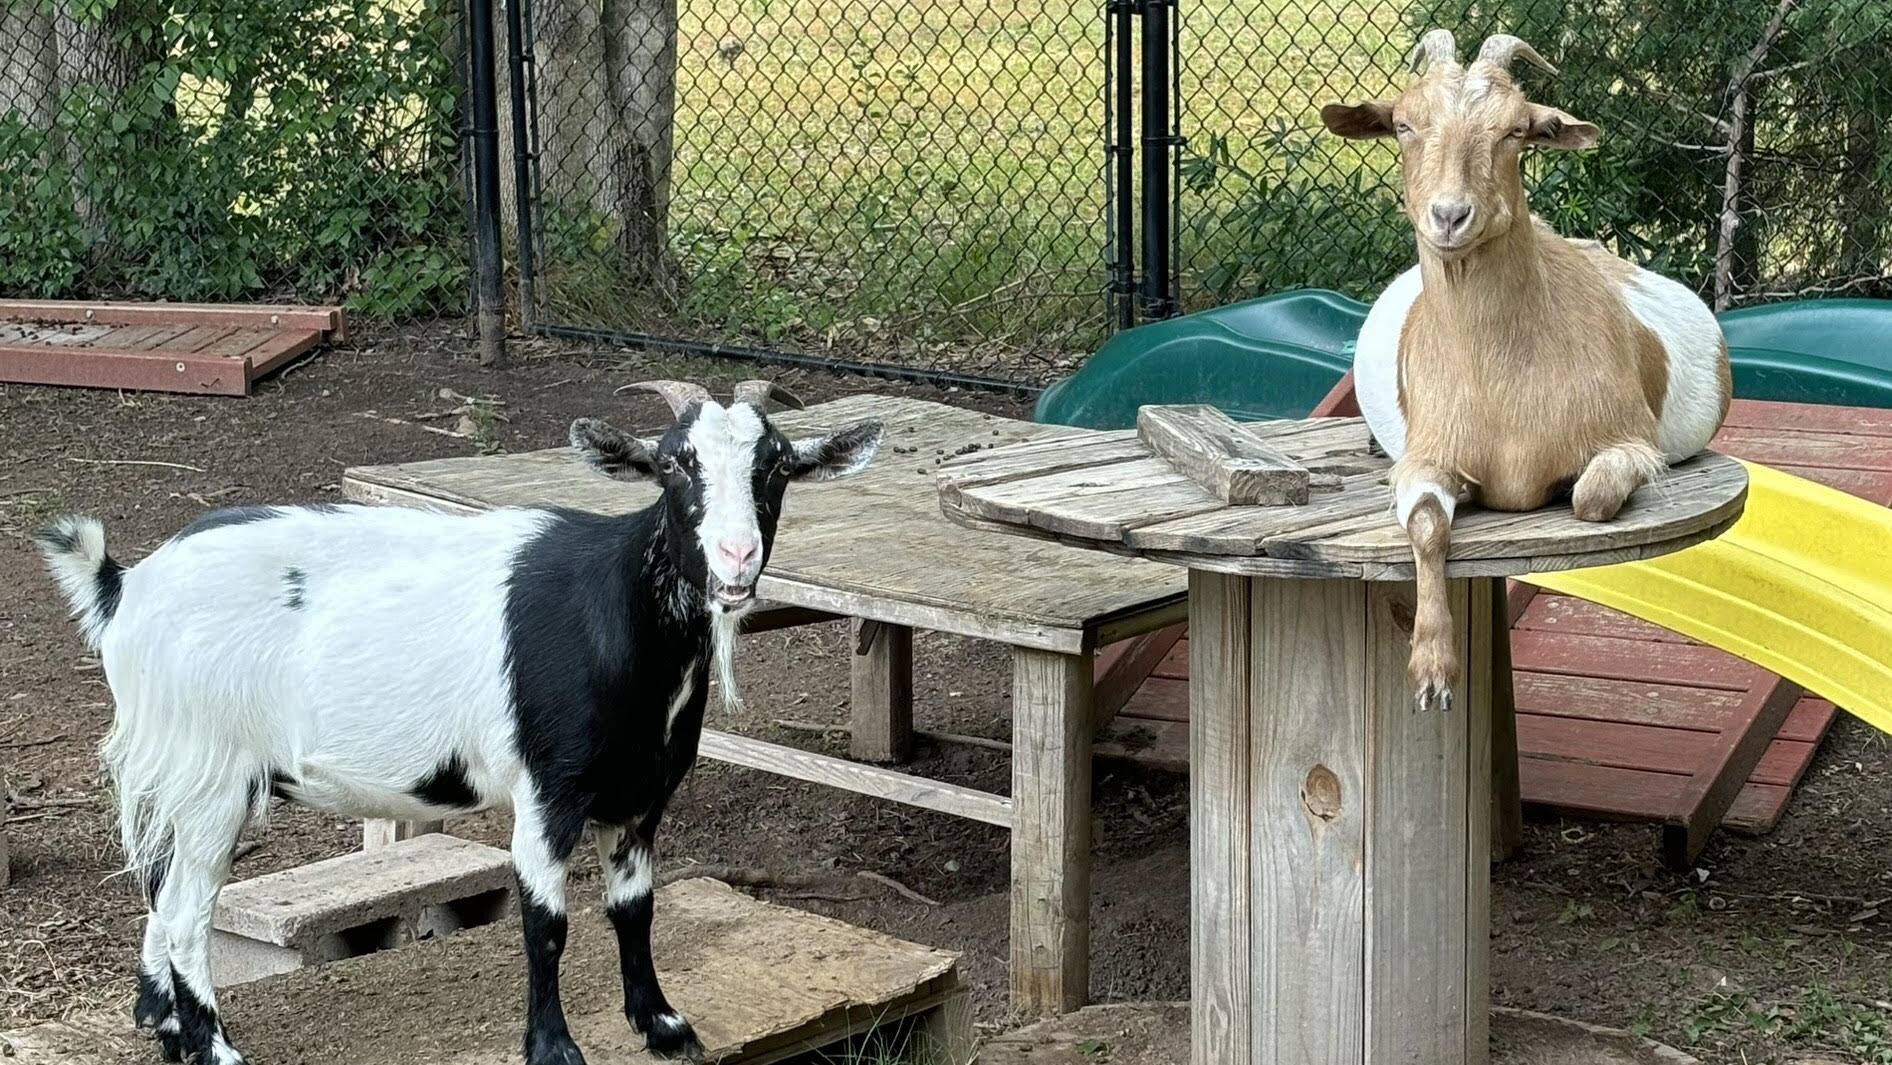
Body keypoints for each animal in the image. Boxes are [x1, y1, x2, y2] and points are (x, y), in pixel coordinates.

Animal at [33, 384, 881, 1065]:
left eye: (777, 465)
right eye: (673, 463)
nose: (736, 559)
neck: (618, 609)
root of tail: (122, 586)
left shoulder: (642, 794)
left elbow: (634, 908)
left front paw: (663, 1024)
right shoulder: (549, 789)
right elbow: (546, 921)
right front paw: (554, 1047)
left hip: (185, 772)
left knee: (159, 883)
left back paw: (168, 1028)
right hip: (210, 769)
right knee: (184, 910)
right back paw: (216, 1047)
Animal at [1324, 31, 1725, 715]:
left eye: (1516, 130)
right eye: (1403, 124)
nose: (1449, 216)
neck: (1500, 388)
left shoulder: (1630, 438)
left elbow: (1592, 497)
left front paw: (1567, 488)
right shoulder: (1427, 457)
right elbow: (1427, 527)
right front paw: (1432, 673)